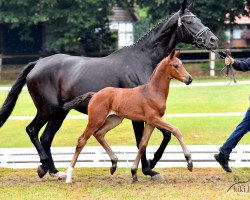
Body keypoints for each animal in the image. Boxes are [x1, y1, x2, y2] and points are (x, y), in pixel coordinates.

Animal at [64, 50, 193, 183]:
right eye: (176, 65)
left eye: (181, 64)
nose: (189, 79)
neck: (152, 92)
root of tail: (95, 94)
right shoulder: (154, 118)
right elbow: (176, 130)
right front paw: (189, 162)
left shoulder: (151, 122)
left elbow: (142, 144)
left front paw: (134, 172)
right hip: (96, 120)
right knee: (82, 140)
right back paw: (68, 175)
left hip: (114, 120)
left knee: (99, 134)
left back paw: (114, 164)